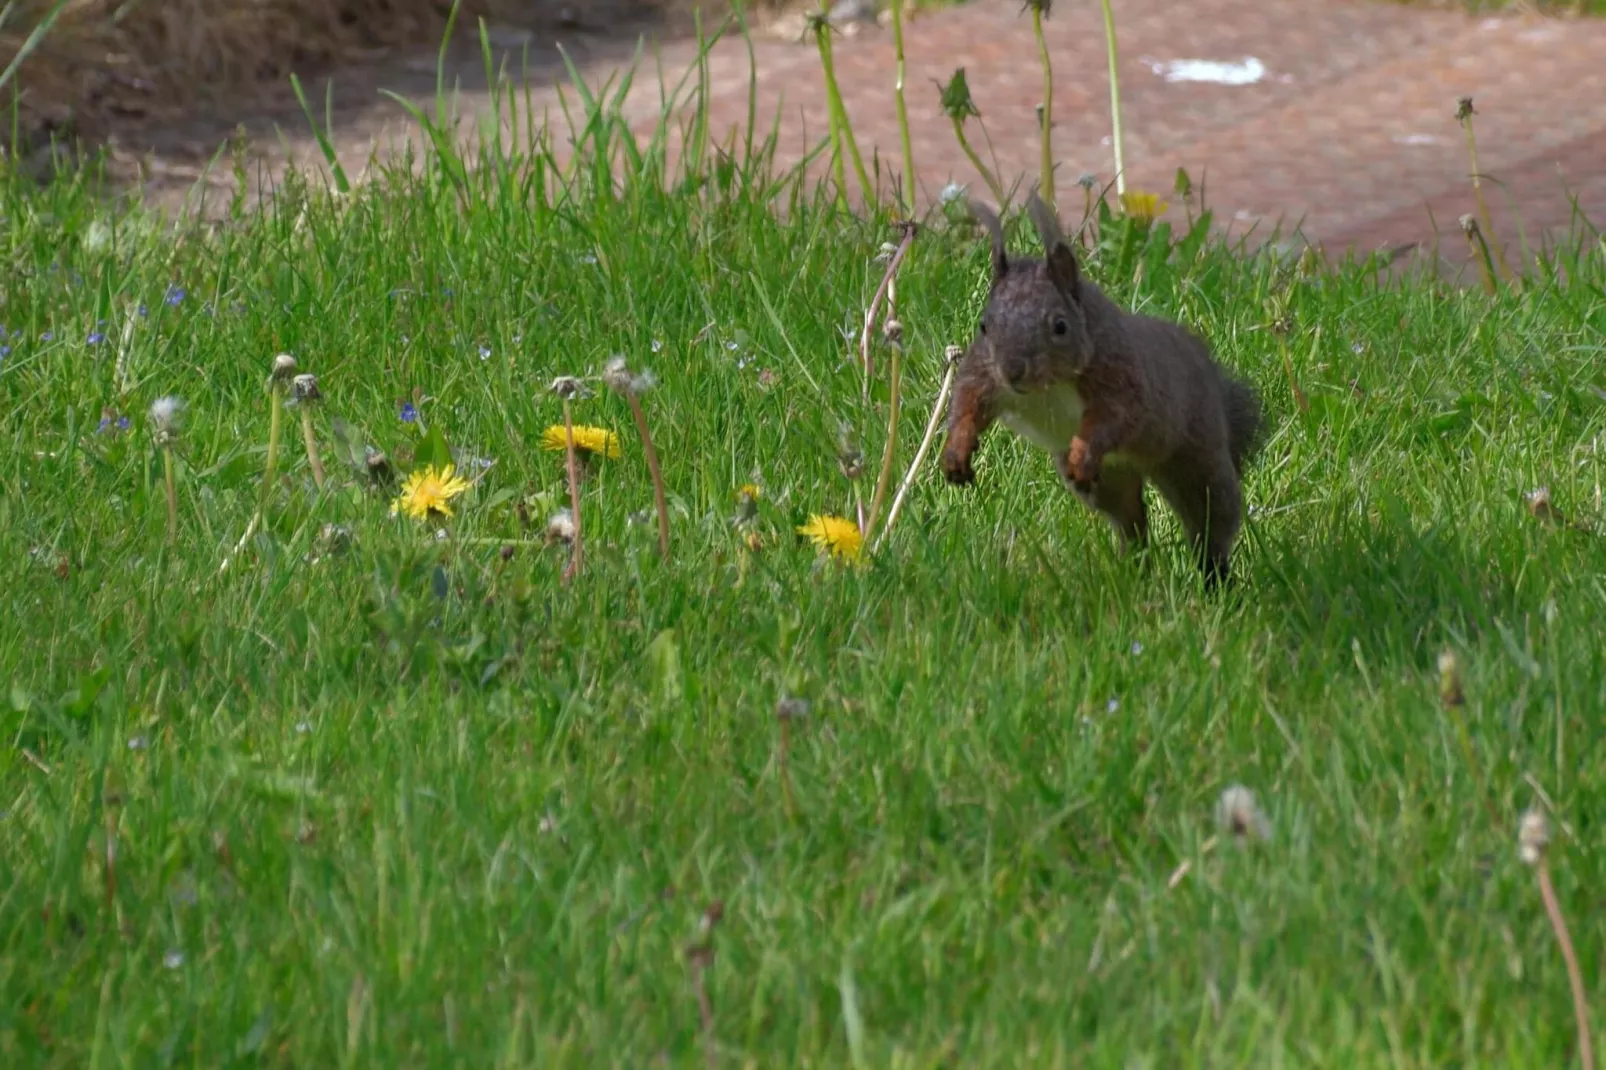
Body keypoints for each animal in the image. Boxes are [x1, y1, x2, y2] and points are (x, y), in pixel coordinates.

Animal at [937, 193, 1265, 591]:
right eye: (984, 325)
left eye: (1060, 326)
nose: (1013, 371)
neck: (1047, 386)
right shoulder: (984, 372)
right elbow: (967, 402)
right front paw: (956, 451)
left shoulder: (1120, 377)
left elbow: (1114, 419)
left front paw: (1083, 452)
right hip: (1111, 480)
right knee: (1131, 521)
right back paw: (1133, 569)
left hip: (1195, 460)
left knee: (1210, 522)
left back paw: (1216, 580)